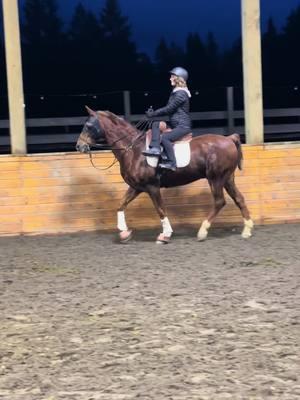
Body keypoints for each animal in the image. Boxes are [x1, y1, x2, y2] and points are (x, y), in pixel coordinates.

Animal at [75, 107, 253, 244]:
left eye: (88, 125)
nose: (79, 146)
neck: (133, 149)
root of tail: (229, 139)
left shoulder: (152, 187)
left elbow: (160, 209)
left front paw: (165, 235)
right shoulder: (136, 186)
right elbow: (121, 205)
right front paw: (124, 233)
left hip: (215, 178)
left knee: (219, 202)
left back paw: (202, 231)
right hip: (227, 178)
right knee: (239, 198)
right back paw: (247, 230)